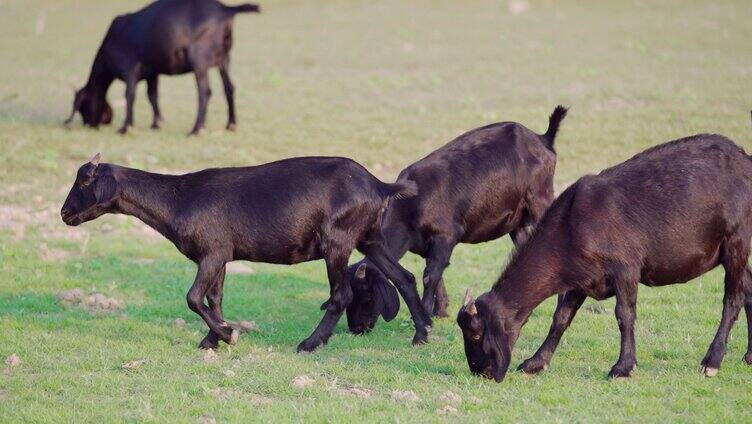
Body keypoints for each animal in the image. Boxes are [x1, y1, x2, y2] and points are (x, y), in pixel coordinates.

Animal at [61, 154, 432, 352]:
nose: (64, 214)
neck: (179, 199)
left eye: (84, 182)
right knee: (404, 277)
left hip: (337, 241)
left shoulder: (212, 252)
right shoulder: (220, 255)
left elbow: (193, 298)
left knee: (341, 294)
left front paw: (229, 335)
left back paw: (310, 343)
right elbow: (214, 299)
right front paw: (211, 340)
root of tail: (379, 185)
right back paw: (421, 334)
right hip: (369, 237)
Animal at [344, 106, 568, 334]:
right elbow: (437, 273)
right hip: (517, 223)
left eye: (367, 296)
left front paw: (425, 315)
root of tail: (542, 138)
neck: (409, 209)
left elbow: (430, 275)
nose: (356, 328)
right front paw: (440, 311)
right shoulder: (430, 245)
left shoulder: (445, 236)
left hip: (541, 199)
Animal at [456, 134, 752, 382]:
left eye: (476, 333)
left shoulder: (626, 269)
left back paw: (712, 360)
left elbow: (624, 315)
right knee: (748, 288)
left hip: (736, 240)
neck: (572, 226)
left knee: (733, 298)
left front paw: (623, 367)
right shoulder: (581, 280)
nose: (481, 371)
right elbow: (561, 317)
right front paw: (536, 362)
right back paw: (748, 356)